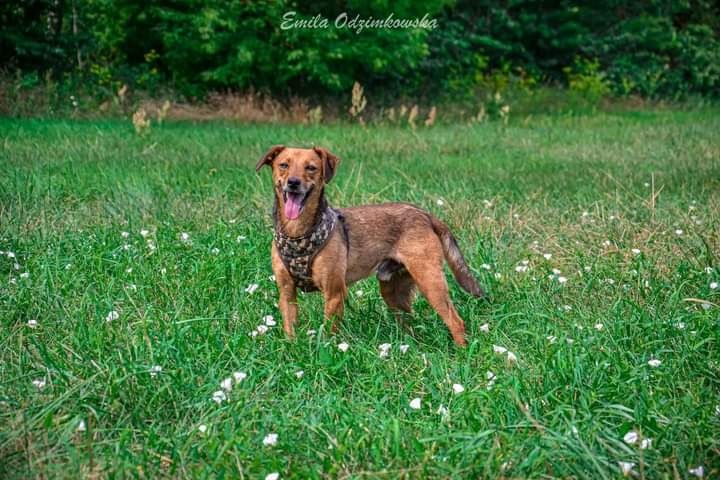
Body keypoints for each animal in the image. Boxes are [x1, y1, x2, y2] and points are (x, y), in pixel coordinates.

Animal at [256, 144, 486, 344]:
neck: (298, 232)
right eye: (283, 165)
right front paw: (292, 351)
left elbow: (329, 333)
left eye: (311, 168)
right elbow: (290, 330)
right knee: (410, 324)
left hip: (430, 282)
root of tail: (425, 215)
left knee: (456, 322)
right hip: (393, 292)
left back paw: (461, 352)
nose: (293, 182)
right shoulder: (287, 294)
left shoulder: (334, 293)